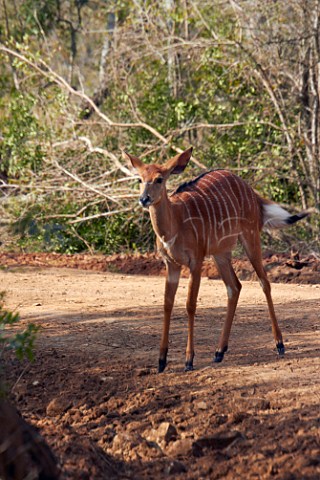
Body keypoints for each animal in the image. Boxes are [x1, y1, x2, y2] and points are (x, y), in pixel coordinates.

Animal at [125, 148, 308, 374]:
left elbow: (190, 304)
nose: (144, 199)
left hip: (250, 238)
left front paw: (189, 360)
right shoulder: (171, 264)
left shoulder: (195, 262)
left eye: (159, 179)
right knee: (235, 287)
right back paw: (219, 351)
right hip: (221, 253)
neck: (175, 224)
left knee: (264, 282)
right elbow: (167, 304)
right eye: (140, 179)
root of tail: (252, 193)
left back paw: (279, 344)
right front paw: (161, 361)